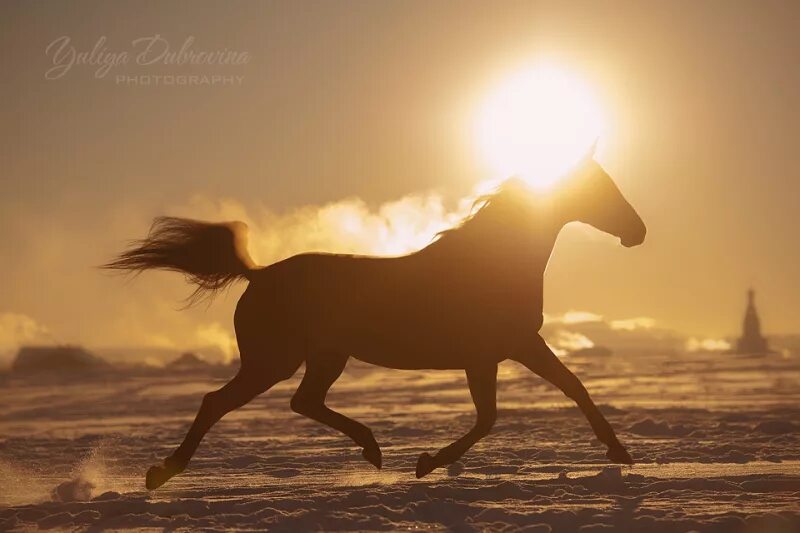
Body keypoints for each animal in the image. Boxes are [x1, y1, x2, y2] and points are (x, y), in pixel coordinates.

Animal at [104, 151, 644, 490]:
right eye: (598, 188)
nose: (637, 231)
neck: (493, 262)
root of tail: (258, 274)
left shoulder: (518, 344)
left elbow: (573, 387)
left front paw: (620, 452)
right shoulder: (486, 354)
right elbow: (488, 418)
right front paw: (427, 464)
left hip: (325, 356)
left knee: (303, 401)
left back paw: (372, 449)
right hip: (275, 360)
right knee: (218, 402)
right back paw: (162, 472)